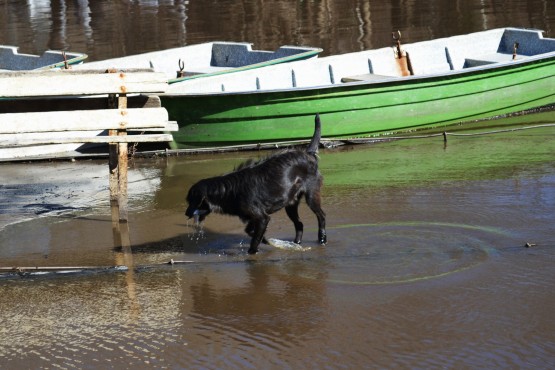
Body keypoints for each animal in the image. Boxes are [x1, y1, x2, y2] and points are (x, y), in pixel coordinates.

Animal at [185, 115, 328, 254]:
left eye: (191, 201)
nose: (186, 213)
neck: (228, 190)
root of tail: (308, 153)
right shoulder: (253, 219)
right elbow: (251, 232)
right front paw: (265, 241)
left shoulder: (262, 218)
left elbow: (254, 240)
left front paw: (253, 251)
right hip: (290, 203)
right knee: (299, 224)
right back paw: (296, 244)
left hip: (311, 196)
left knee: (321, 216)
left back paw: (322, 238)